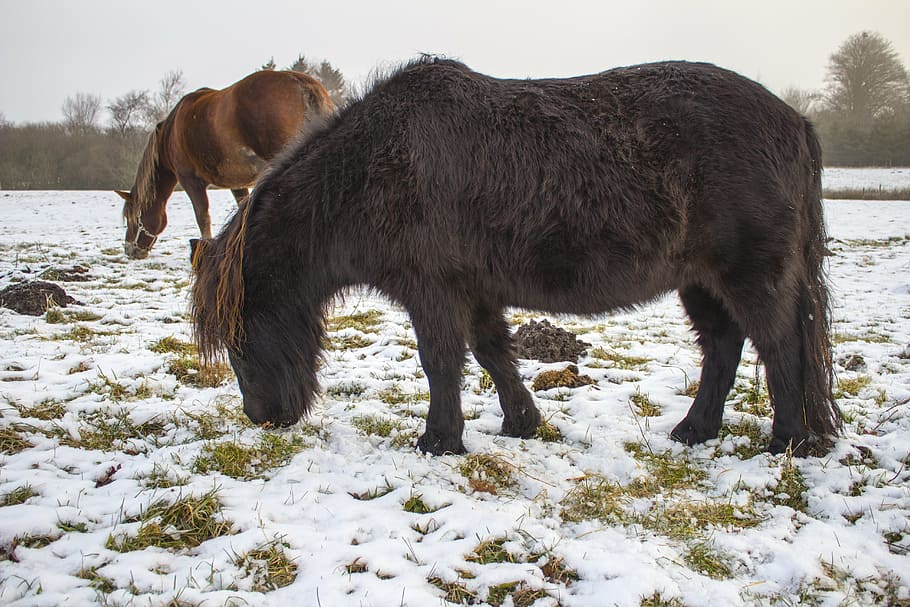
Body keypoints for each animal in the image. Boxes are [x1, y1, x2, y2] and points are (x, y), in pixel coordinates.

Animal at [116, 69, 335, 259]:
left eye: (132, 218)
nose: (130, 250)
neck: (171, 133)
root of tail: (302, 84)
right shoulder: (237, 183)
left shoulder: (191, 181)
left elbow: (202, 216)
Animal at [191, 57, 842, 457]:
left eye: (241, 334)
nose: (262, 416)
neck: (373, 169)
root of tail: (796, 122)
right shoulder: (475, 289)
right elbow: (493, 354)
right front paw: (521, 424)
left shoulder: (434, 290)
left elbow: (440, 361)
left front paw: (438, 440)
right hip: (701, 281)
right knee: (723, 347)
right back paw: (694, 432)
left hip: (751, 274)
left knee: (779, 345)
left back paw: (786, 441)